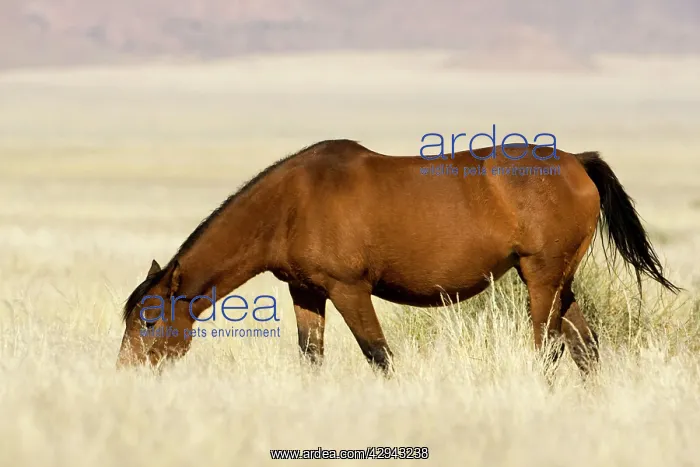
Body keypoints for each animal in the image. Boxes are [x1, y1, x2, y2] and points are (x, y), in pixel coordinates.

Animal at [116, 139, 679, 376]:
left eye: (148, 322)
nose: (125, 373)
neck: (292, 203)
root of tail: (578, 163)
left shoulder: (349, 290)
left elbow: (379, 356)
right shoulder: (306, 291)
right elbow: (311, 359)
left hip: (542, 281)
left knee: (549, 349)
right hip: (559, 283)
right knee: (586, 348)